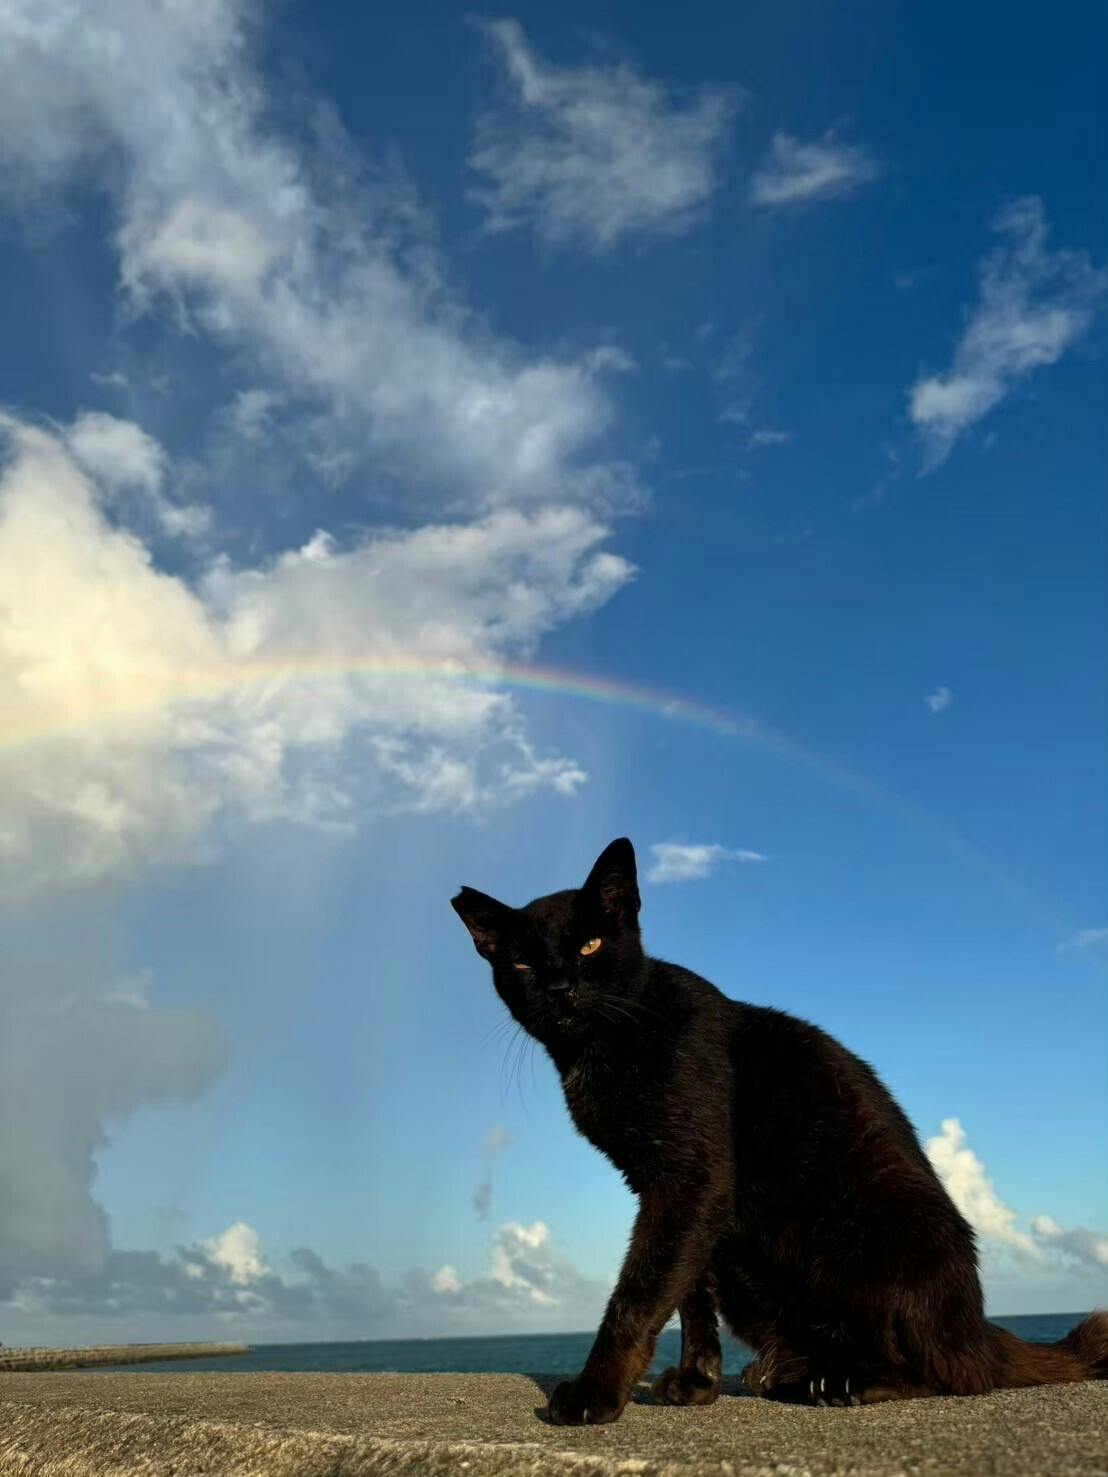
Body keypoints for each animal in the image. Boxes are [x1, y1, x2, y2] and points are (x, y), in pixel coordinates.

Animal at [451, 837, 1108, 1425]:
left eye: (589, 945)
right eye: (522, 964)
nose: (560, 989)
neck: (602, 1046)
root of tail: (978, 1332)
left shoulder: (691, 1178)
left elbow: (640, 1294)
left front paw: (595, 1394)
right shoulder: (678, 1195)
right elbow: (689, 1294)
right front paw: (697, 1383)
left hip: (872, 1234)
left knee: (949, 1374)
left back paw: (845, 1383)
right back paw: (786, 1374)